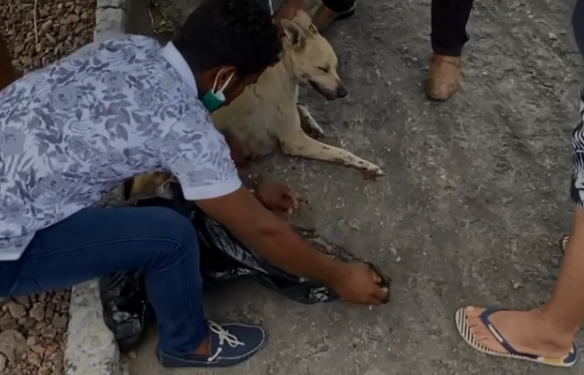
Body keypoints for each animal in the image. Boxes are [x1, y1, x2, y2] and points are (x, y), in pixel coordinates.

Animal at [127, 11, 380, 200]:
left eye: (334, 67)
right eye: (322, 68)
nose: (344, 92)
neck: (283, 70)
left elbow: (301, 107)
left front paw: (313, 123)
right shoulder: (294, 141)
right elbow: (342, 152)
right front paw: (366, 164)